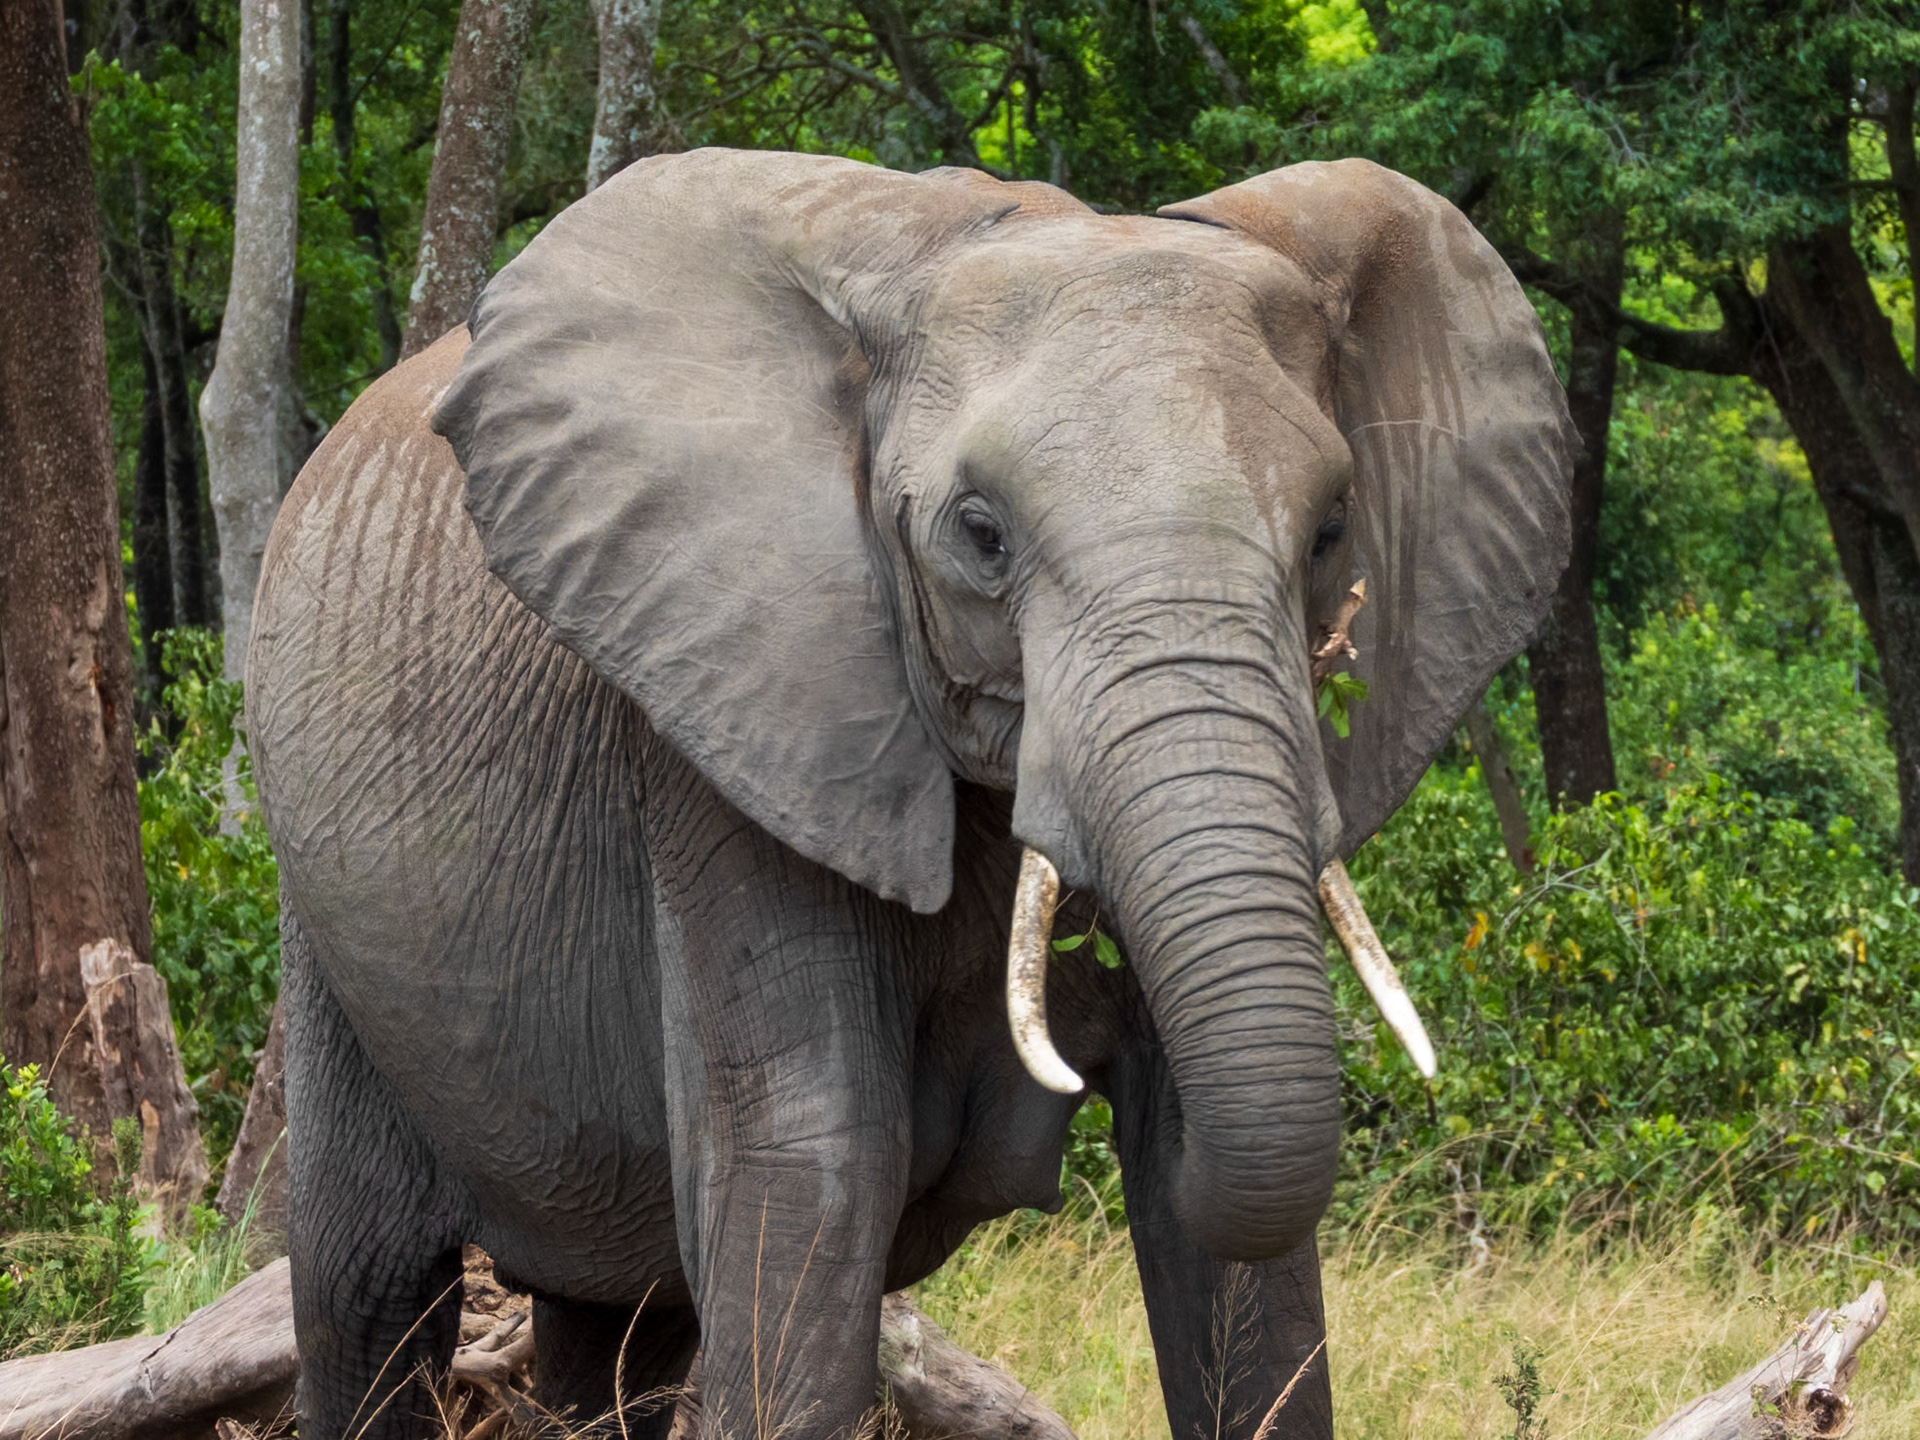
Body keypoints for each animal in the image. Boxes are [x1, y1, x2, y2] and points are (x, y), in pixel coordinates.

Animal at [248, 148, 1572, 1440]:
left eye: (1333, 530)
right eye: (980, 534)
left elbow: (1226, 1250)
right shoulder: (728, 724)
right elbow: (816, 1168)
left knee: (617, 1338)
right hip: (331, 923)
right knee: (368, 1298)